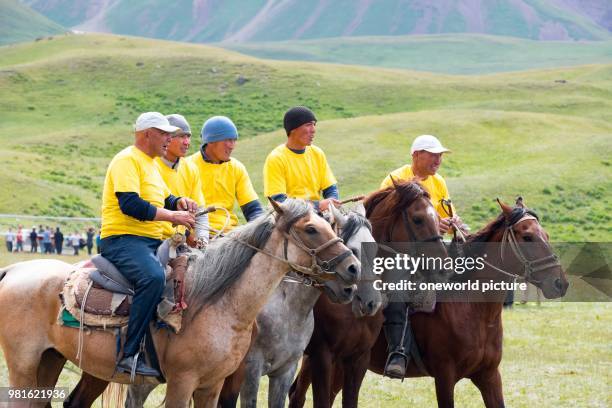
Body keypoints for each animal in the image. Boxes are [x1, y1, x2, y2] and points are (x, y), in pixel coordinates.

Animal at [0, 200, 358, 408]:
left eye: (330, 225)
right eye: (311, 229)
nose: (352, 268)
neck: (220, 306)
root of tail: (14, 270)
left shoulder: (212, 386)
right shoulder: (182, 384)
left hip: (51, 360)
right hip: (23, 366)